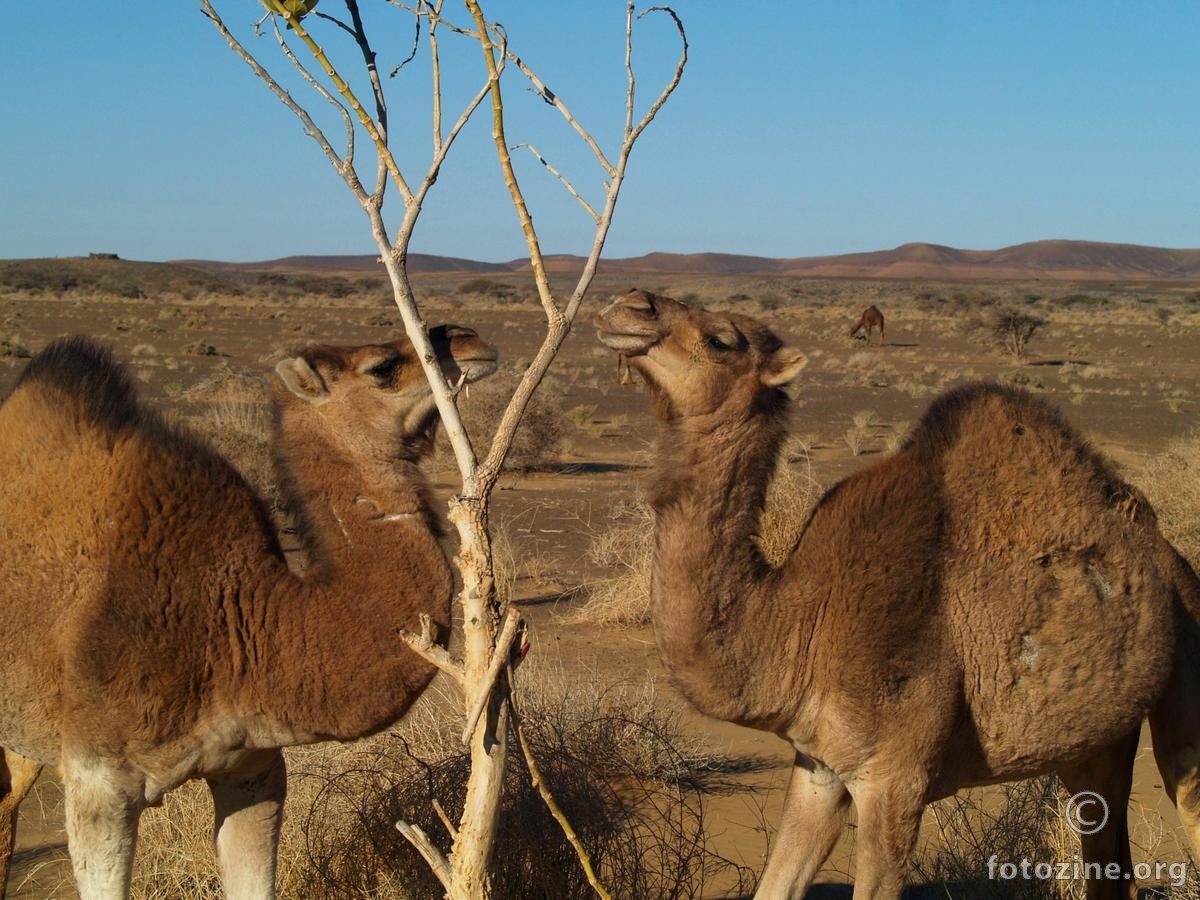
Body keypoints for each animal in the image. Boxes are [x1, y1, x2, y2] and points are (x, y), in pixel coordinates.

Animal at [595, 290, 1200, 900]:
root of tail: (1170, 556)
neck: (800, 625)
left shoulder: (895, 780)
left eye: (721, 339)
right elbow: (776, 882)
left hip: (1187, 653)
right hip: (1097, 741)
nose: (631, 305)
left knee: (1184, 785)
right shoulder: (819, 767)